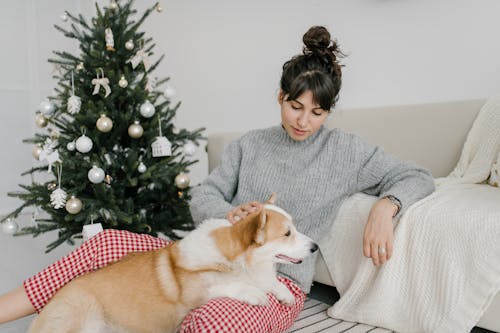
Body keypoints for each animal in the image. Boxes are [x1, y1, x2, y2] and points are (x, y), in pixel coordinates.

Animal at [28, 193, 316, 330]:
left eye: (295, 229)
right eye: (287, 234)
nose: (315, 247)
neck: (235, 259)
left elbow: (273, 282)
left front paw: (283, 294)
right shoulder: (194, 294)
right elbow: (229, 285)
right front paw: (256, 294)